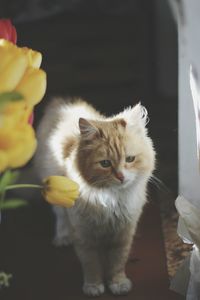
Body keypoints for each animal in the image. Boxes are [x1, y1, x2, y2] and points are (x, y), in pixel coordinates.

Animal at [34, 98, 155, 296]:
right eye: (105, 164)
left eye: (130, 159)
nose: (121, 177)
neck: (111, 199)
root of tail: (61, 102)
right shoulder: (84, 234)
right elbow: (91, 265)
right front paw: (93, 286)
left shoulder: (123, 233)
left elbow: (117, 263)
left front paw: (118, 284)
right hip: (56, 195)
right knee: (60, 217)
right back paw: (62, 237)